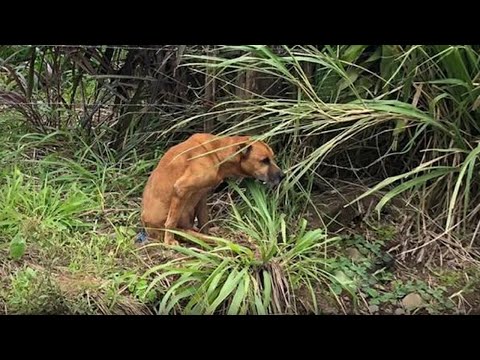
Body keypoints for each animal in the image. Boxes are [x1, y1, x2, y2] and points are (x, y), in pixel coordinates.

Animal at [142, 134, 284, 246]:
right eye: (264, 161)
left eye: (272, 158)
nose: (283, 176)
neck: (216, 152)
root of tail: (147, 227)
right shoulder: (181, 188)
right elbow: (171, 222)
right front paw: (169, 241)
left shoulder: (202, 195)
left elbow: (204, 220)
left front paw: (207, 232)